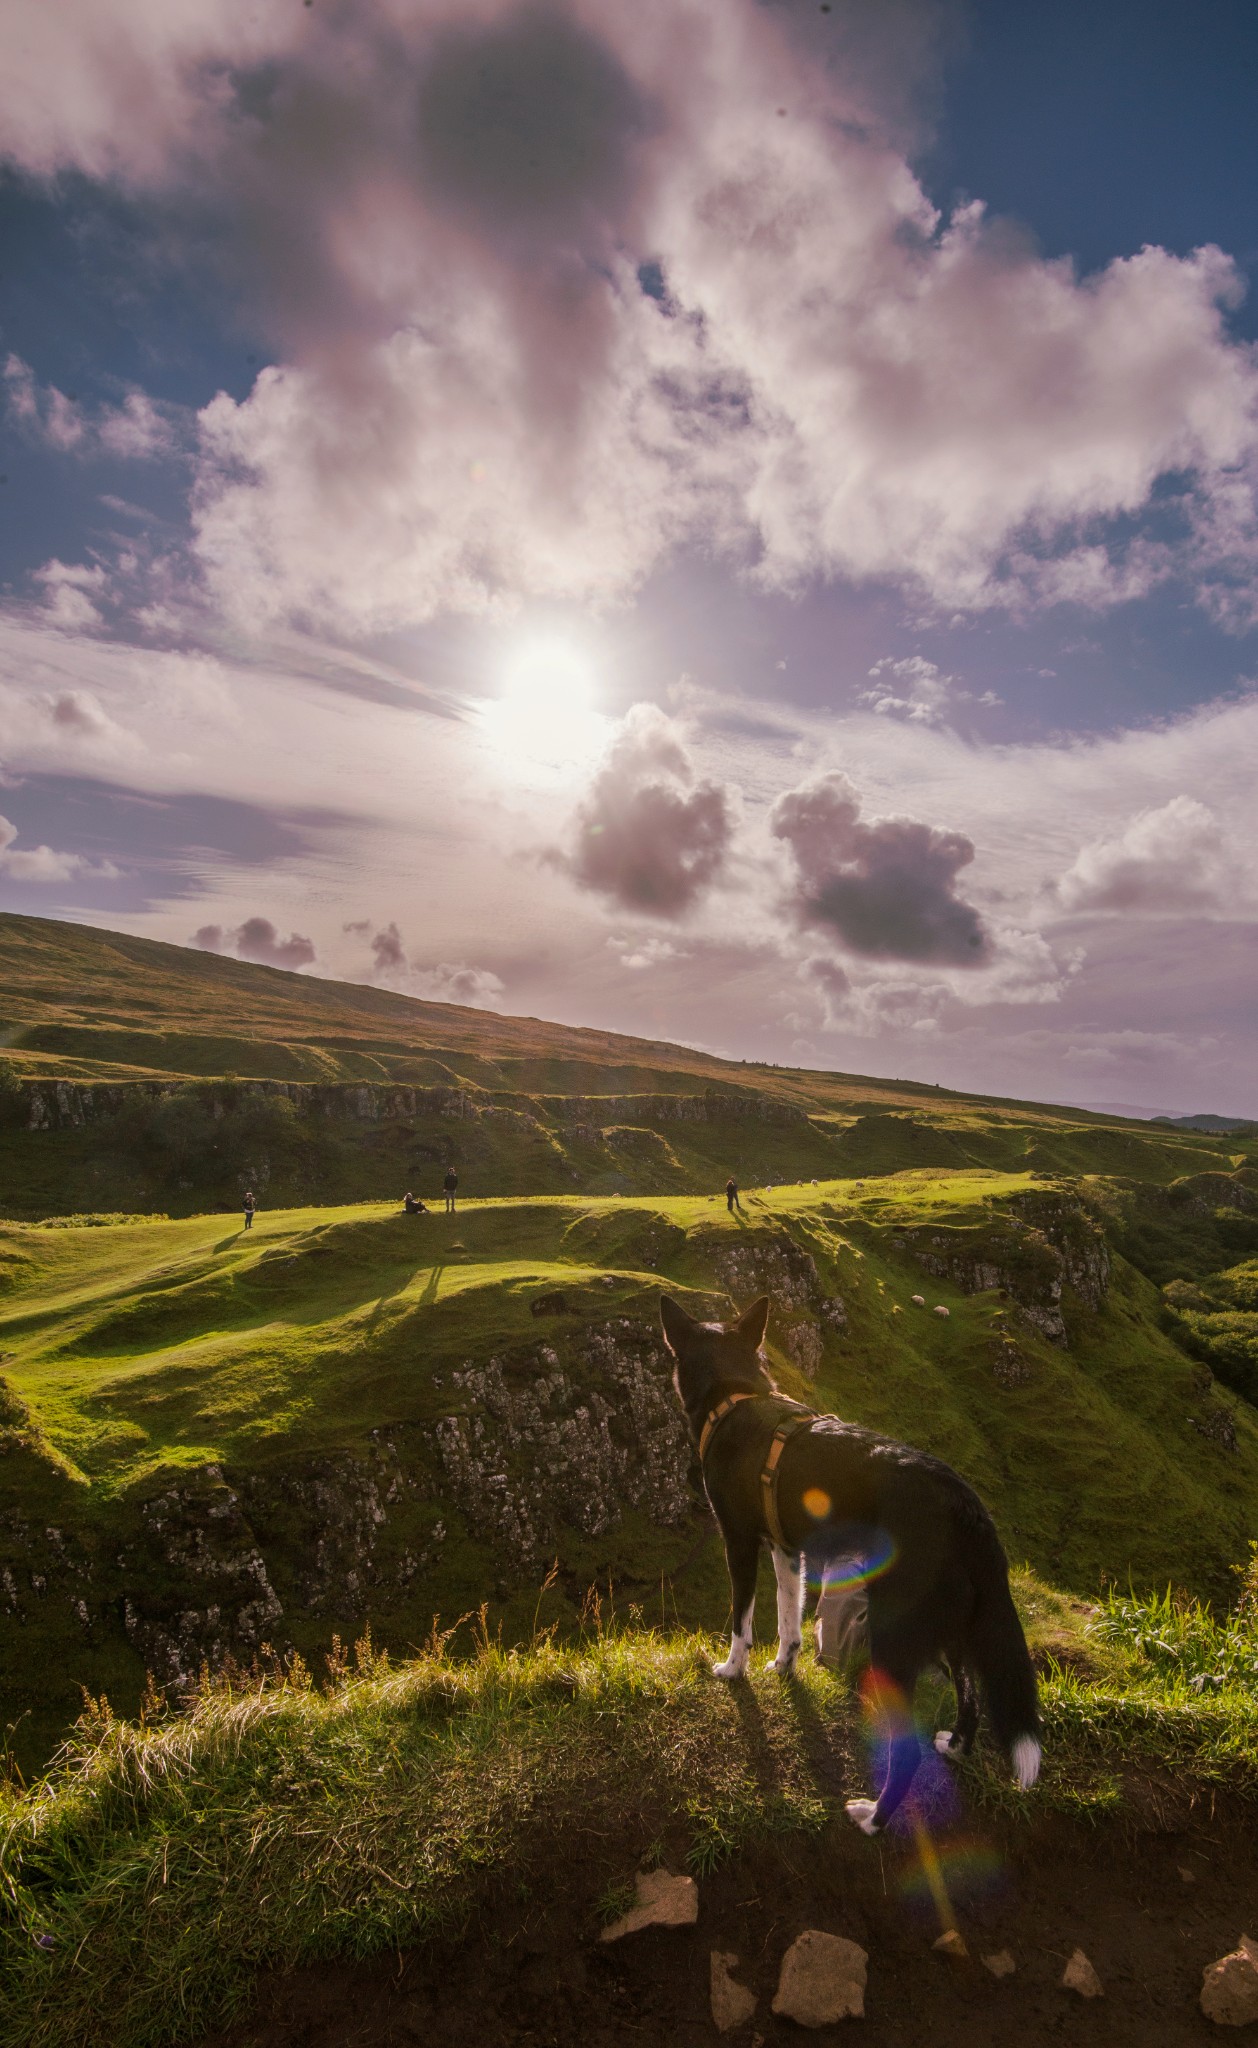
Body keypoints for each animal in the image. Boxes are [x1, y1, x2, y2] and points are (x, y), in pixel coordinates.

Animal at [659, 1286, 1044, 1835]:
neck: (736, 1397)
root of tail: (966, 1506)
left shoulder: (739, 1541)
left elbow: (741, 1618)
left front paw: (734, 1670)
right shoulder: (786, 1549)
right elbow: (789, 1615)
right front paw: (784, 1664)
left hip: (893, 1635)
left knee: (906, 1752)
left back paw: (874, 1818)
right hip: (955, 1630)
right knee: (971, 1698)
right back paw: (954, 1747)